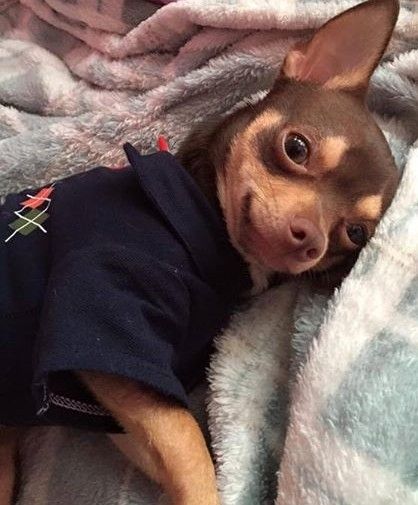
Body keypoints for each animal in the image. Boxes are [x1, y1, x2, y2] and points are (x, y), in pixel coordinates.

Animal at [0, 0, 400, 504]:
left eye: (356, 233)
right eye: (296, 147)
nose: (311, 240)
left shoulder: (120, 398)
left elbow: (169, 446)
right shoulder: (105, 314)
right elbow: (189, 444)